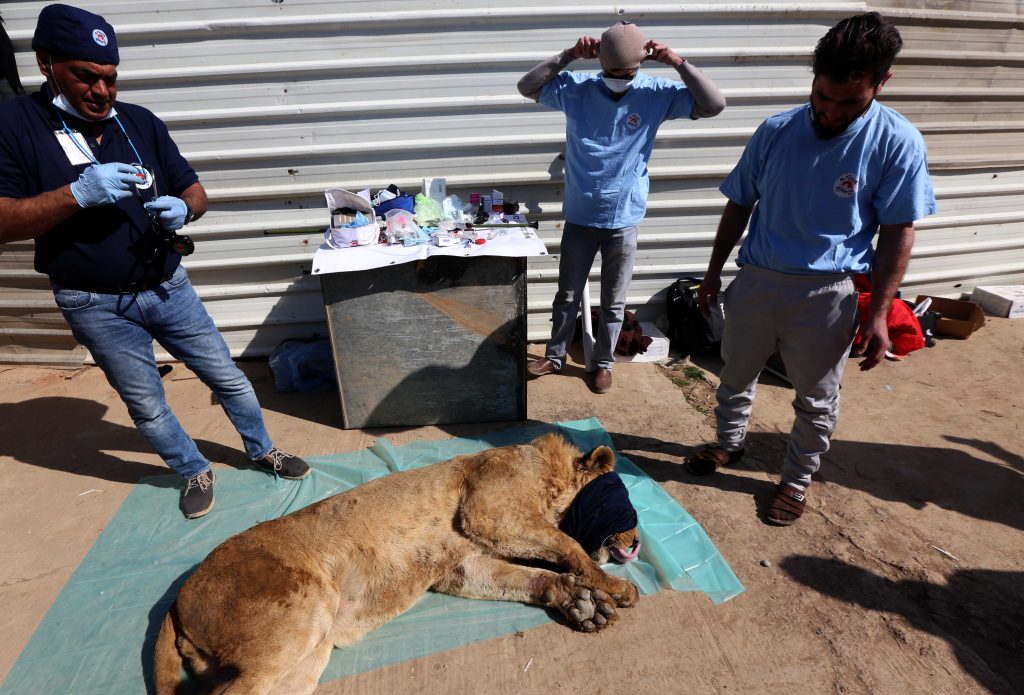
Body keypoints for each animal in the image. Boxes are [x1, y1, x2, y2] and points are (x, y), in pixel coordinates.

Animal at [151, 431, 638, 691]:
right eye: (623, 500)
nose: (636, 541)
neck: (544, 471)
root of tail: (177, 599)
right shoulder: (490, 513)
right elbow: (569, 545)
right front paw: (614, 587)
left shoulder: (465, 565)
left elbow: (531, 577)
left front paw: (582, 603)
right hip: (302, 616)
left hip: (307, 655)